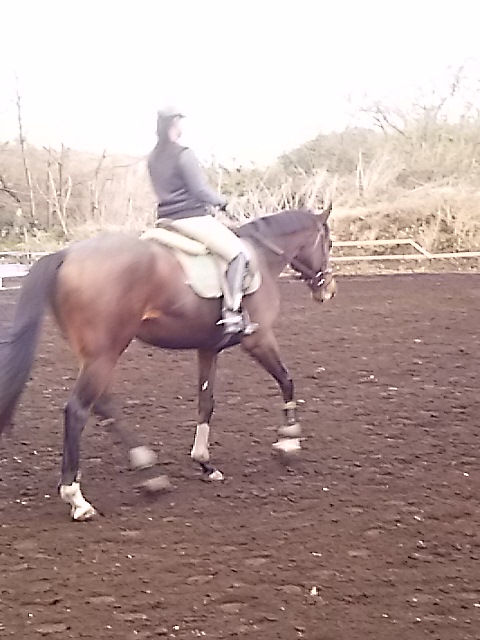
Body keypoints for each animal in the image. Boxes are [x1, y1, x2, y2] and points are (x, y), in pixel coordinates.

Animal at [0, 205, 336, 520]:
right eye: (328, 242)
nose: (328, 290)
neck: (262, 257)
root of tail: (65, 254)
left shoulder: (208, 348)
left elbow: (206, 402)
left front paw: (205, 463)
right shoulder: (259, 339)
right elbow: (286, 380)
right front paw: (289, 442)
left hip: (96, 355)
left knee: (103, 405)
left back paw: (150, 473)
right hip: (104, 354)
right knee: (78, 410)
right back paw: (78, 499)